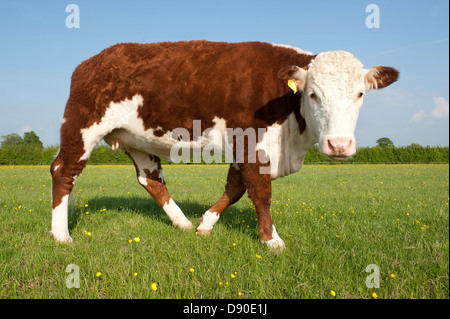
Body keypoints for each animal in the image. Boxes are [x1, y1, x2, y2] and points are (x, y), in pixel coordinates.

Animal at [51, 41, 400, 252]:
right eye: (313, 93)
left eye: (360, 94)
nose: (339, 145)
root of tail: (93, 61)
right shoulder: (250, 141)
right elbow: (260, 192)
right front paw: (272, 240)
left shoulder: (242, 148)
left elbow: (235, 189)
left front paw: (205, 224)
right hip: (81, 127)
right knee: (63, 172)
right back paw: (61, 235)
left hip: (136, 138)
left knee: (150, 180)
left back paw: (182, 223)